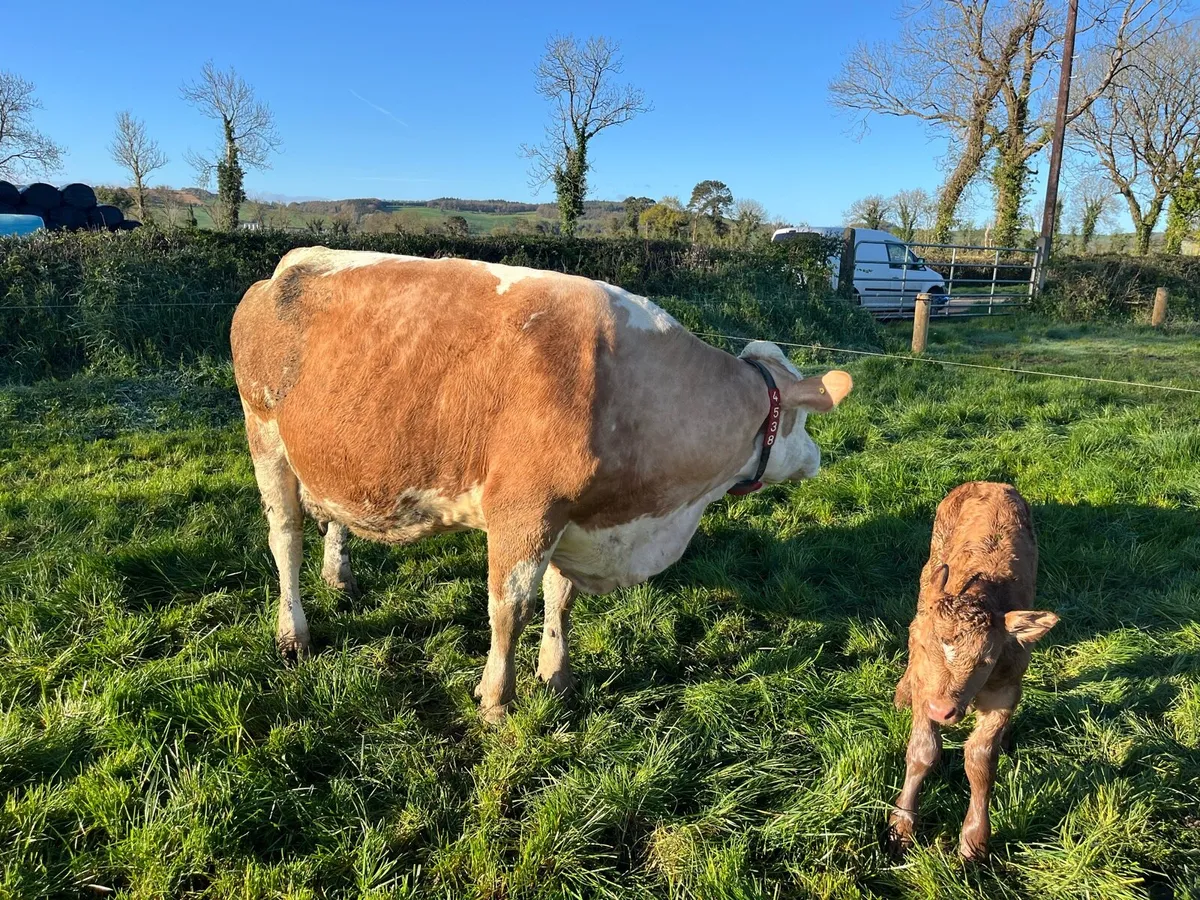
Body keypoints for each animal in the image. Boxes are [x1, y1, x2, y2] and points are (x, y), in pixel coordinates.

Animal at [230, 247, 853, 721]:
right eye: (803, 418)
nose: (818, 458)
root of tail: (285, 266)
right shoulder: (524, 508)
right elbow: (510, 608)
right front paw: (496, 701)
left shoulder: (570, 515)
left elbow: (561, 598)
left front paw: (556, 675)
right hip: (265, 438)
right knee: (285, 539)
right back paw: (293, 632)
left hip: (333, 455)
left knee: (334, 515)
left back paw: (339, 576)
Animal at [886, 481, 1058, 862]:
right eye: (927, 649)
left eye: (985, 661)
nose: (942, 710)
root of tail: (991, 484)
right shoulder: (925, 685)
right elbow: (923, 751)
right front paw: (901, 825)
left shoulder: (1006, 690)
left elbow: (980, 760)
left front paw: (974, 841)